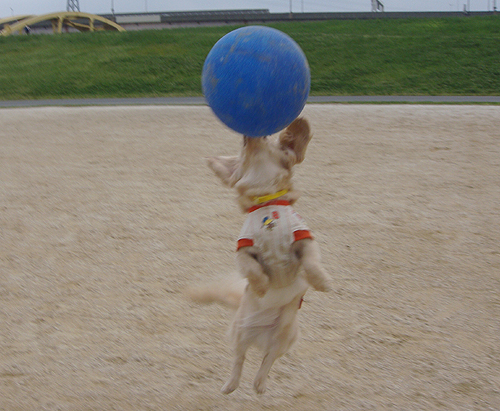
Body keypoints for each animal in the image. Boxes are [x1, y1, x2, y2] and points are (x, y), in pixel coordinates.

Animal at [193, 117, 330, 394]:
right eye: (242, 146)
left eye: (267, 138)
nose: (249, 133)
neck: (267, 202)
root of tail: (260, 338)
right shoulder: (244, 250)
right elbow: (252, 269)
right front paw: (261, 286)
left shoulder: (304, 240)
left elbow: (311, 263)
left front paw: (321, 282)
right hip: (239, 331)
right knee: (240, 358)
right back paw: (231, 385)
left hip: (285, 337)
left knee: (268, 360)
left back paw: (259, 384)